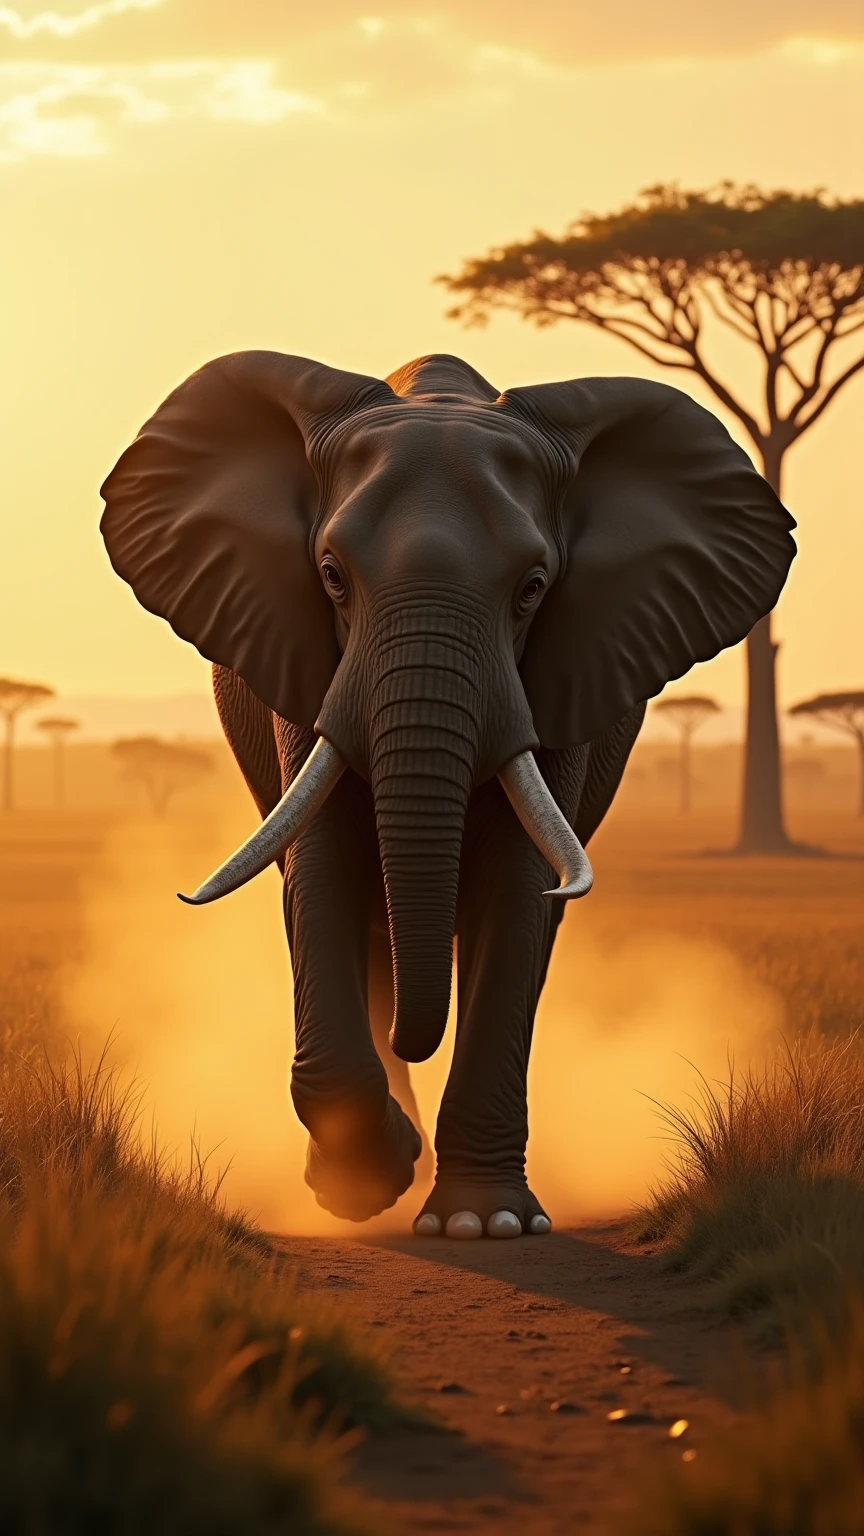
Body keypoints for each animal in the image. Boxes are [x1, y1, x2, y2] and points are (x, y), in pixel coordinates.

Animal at [100, 351, 794, 1240]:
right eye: (331, 577)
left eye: (533, 587)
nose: (410, 1046)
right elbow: (320, 870)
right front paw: (368, 1181)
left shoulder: (566, 671)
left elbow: (515, 889)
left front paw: (481, 1223)